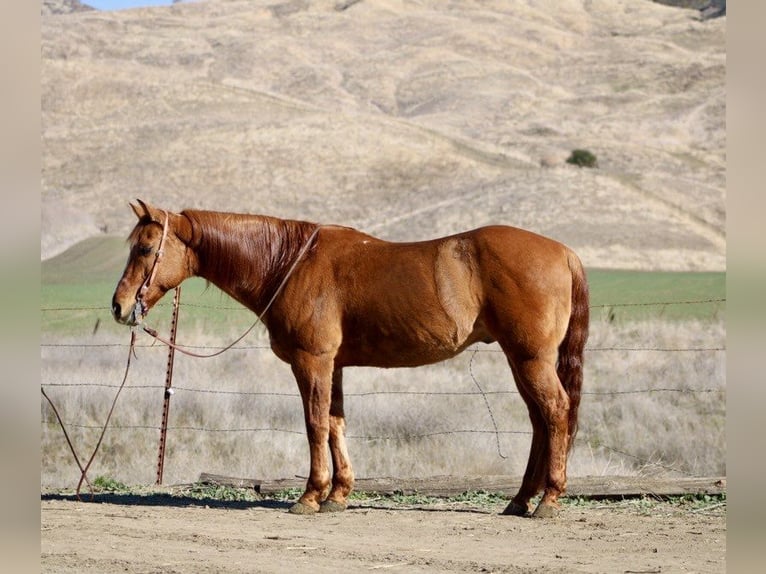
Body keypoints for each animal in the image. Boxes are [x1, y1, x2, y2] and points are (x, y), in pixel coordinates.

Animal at [112, 200, 589, 518]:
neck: (289, 262)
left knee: (556, 412)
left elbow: (315, 424)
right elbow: (336, 424)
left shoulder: (312, 362)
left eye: (145, 249)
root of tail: (564, 252)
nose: (119, 306)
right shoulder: (334, 366)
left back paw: (548, 500)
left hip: (530, 359)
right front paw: (338, 495)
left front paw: (310, 496)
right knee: (540, 421)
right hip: (522, 360)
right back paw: (520, 500)